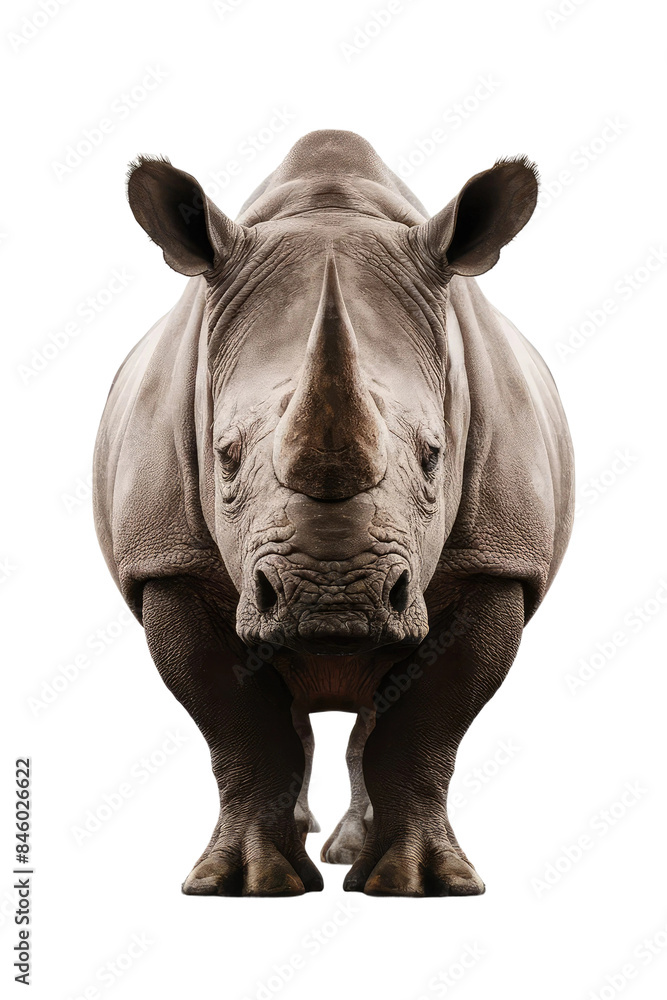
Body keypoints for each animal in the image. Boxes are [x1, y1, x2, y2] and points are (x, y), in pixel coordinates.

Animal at [93, 130, 574, 897]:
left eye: (434, 455)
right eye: (225, 456)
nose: (333, 602)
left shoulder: (498, 562)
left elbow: (425, 725)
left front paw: (418, 884)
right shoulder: (166, 561)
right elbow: (239, 727)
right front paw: (248, 884)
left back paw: (352, 852)